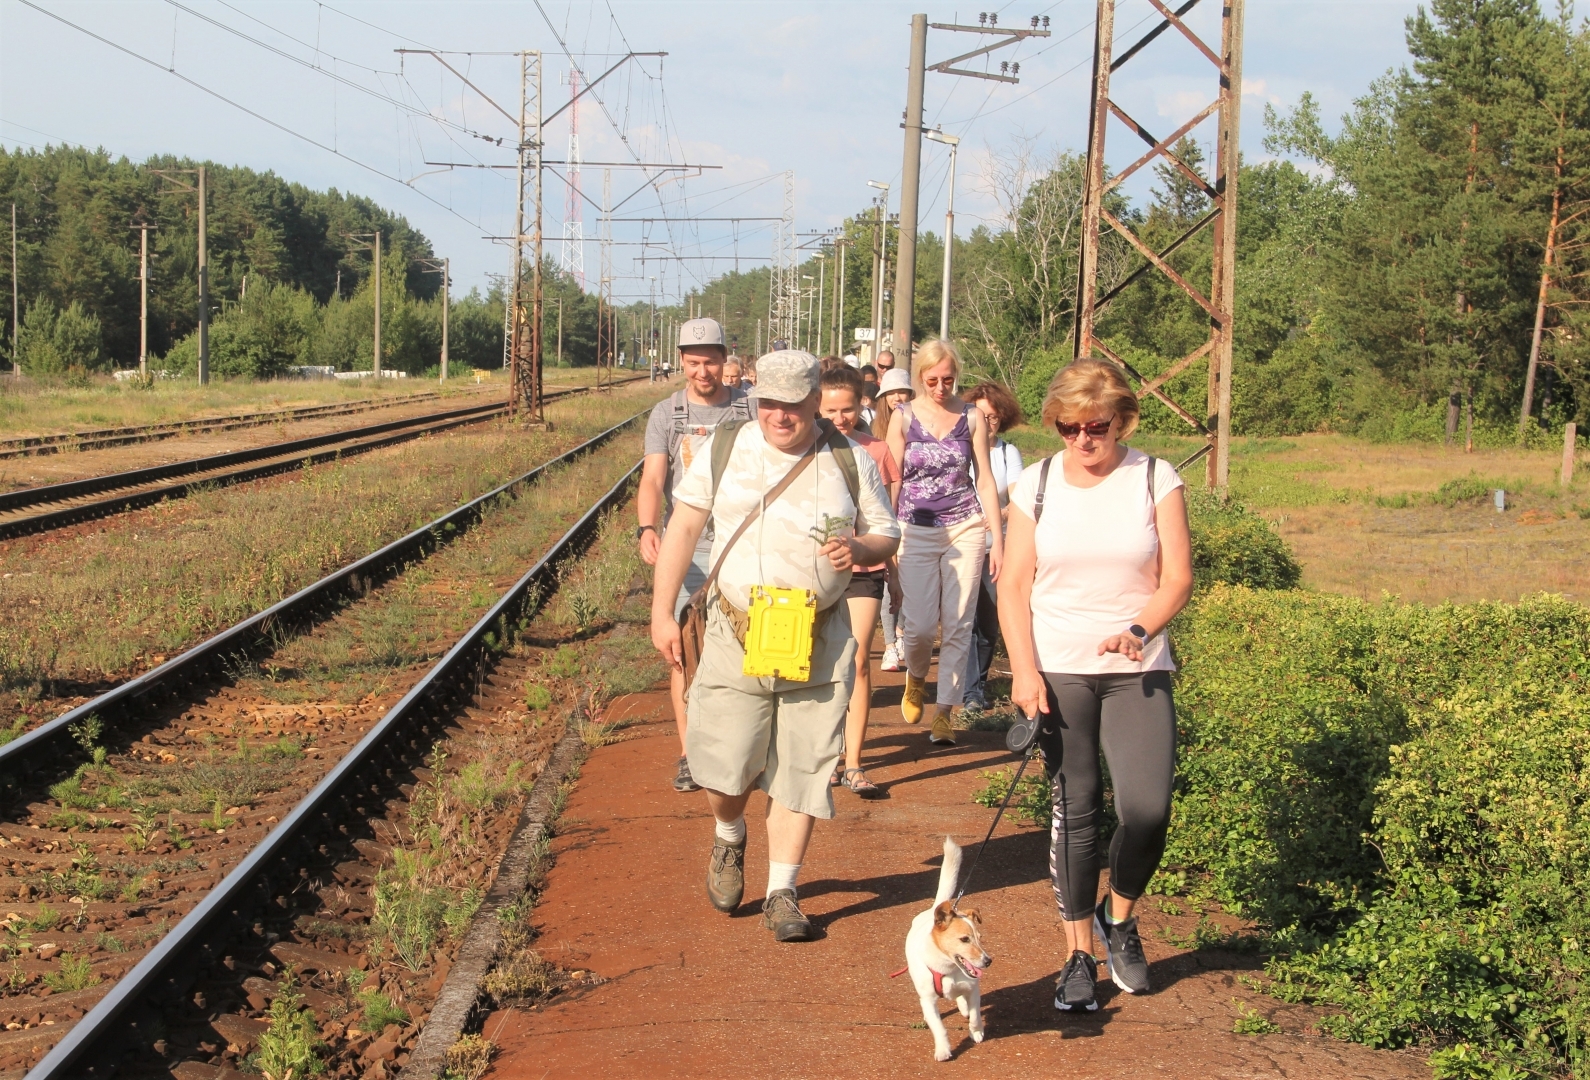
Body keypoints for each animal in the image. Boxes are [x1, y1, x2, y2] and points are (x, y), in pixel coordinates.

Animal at [903, 839, 985, 1062]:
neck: (948, 969)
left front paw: (976, 1032)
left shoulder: (973, 989)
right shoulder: (929, 1000)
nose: (988, 960)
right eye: (964, 939)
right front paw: (943, 1050)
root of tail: (934, 910)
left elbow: (975, 1015)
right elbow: (939, 1028)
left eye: (980, 938)